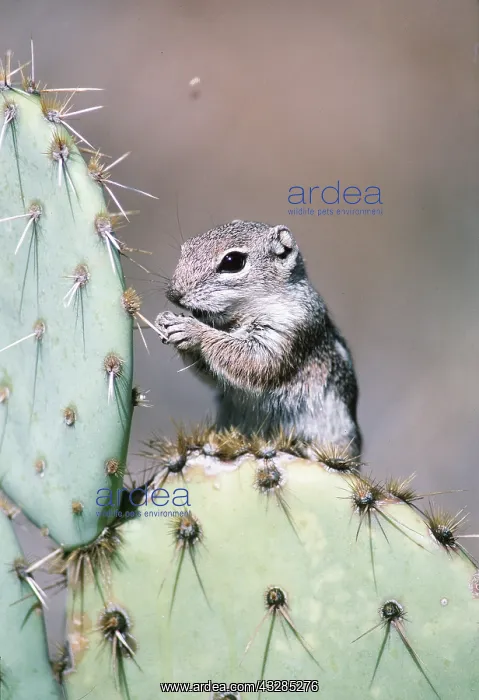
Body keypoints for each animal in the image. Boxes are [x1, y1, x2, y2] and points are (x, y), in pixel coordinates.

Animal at [155, 220, 362, 457]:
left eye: (233, 261)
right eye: (186, 247)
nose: (173, 294)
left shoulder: (288, 329)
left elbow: (255, 360)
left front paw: (193, 330)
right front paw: (164, 321)